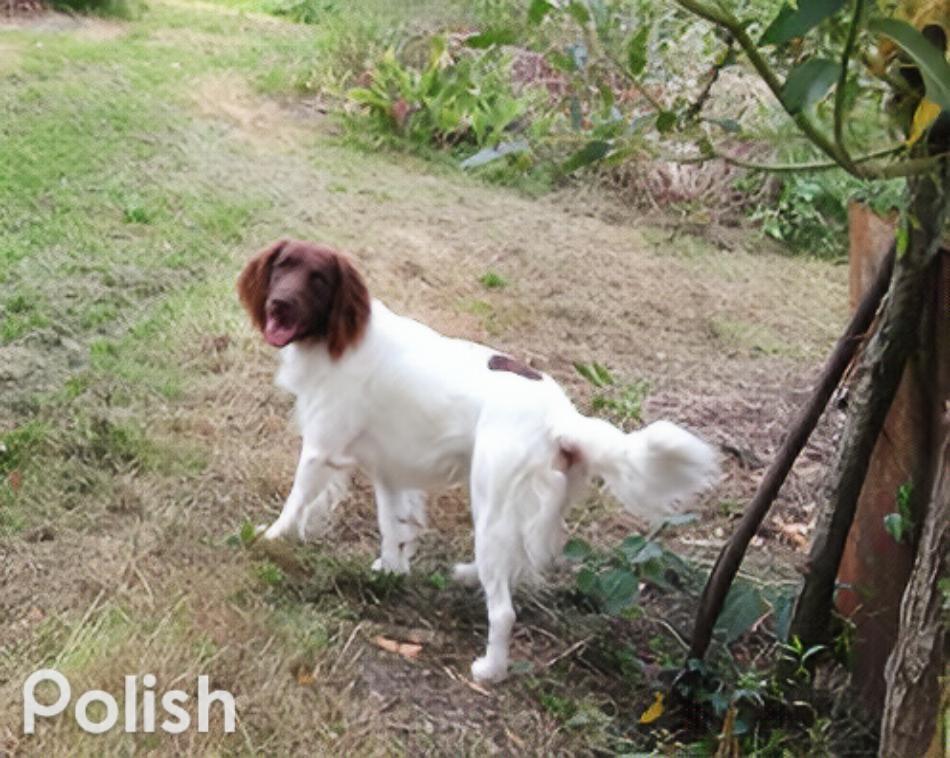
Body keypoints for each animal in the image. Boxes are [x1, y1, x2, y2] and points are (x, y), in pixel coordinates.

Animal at [240, 240, 720, 684]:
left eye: (318, 279)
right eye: (283, 266)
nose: (278, 303)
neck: (340, 339)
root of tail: (562, 418)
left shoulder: (320, 447)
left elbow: (296, 502)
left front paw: (268, 538)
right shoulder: (388, 469)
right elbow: (392, 526)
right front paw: (391, 570)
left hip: (489, 504)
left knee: (504, 608)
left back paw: (490, 668)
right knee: (520, 558)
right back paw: (470, 576)